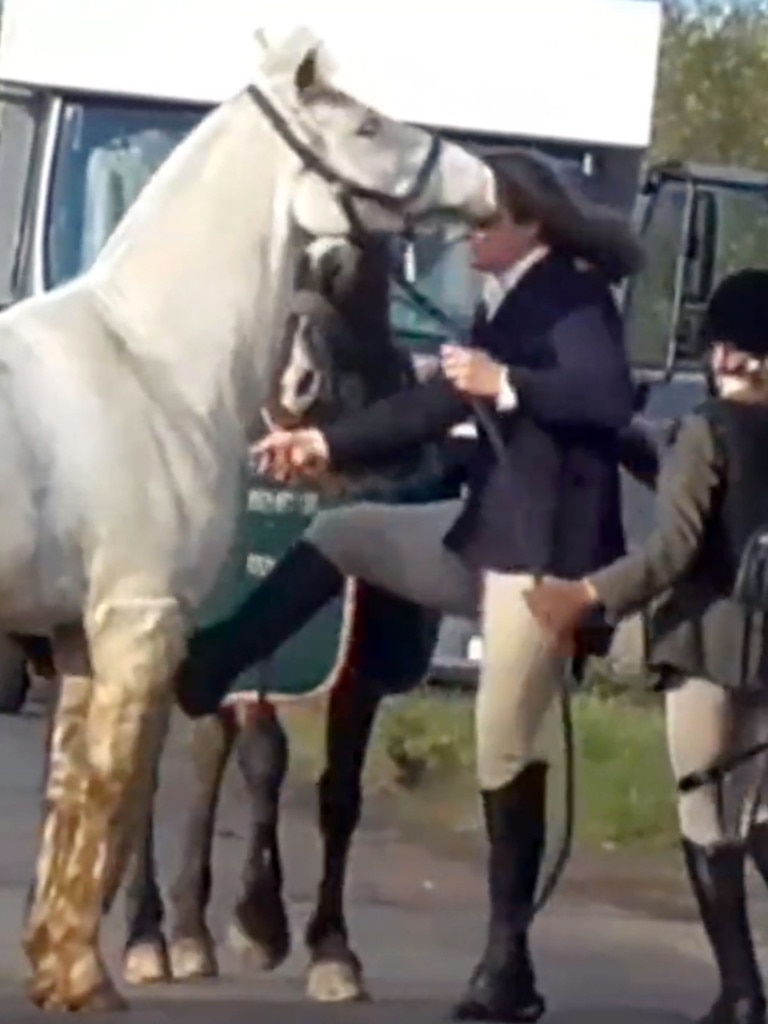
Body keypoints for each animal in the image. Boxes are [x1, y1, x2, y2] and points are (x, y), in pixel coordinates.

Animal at [118, 232, 456, 999]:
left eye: (366, 252)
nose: (300, 380)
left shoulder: (358, 664)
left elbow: (339, 796)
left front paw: (332, 948)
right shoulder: (263, 641)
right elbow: (265, 757)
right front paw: (259, 921)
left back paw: (188, 928)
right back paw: (148, 935)